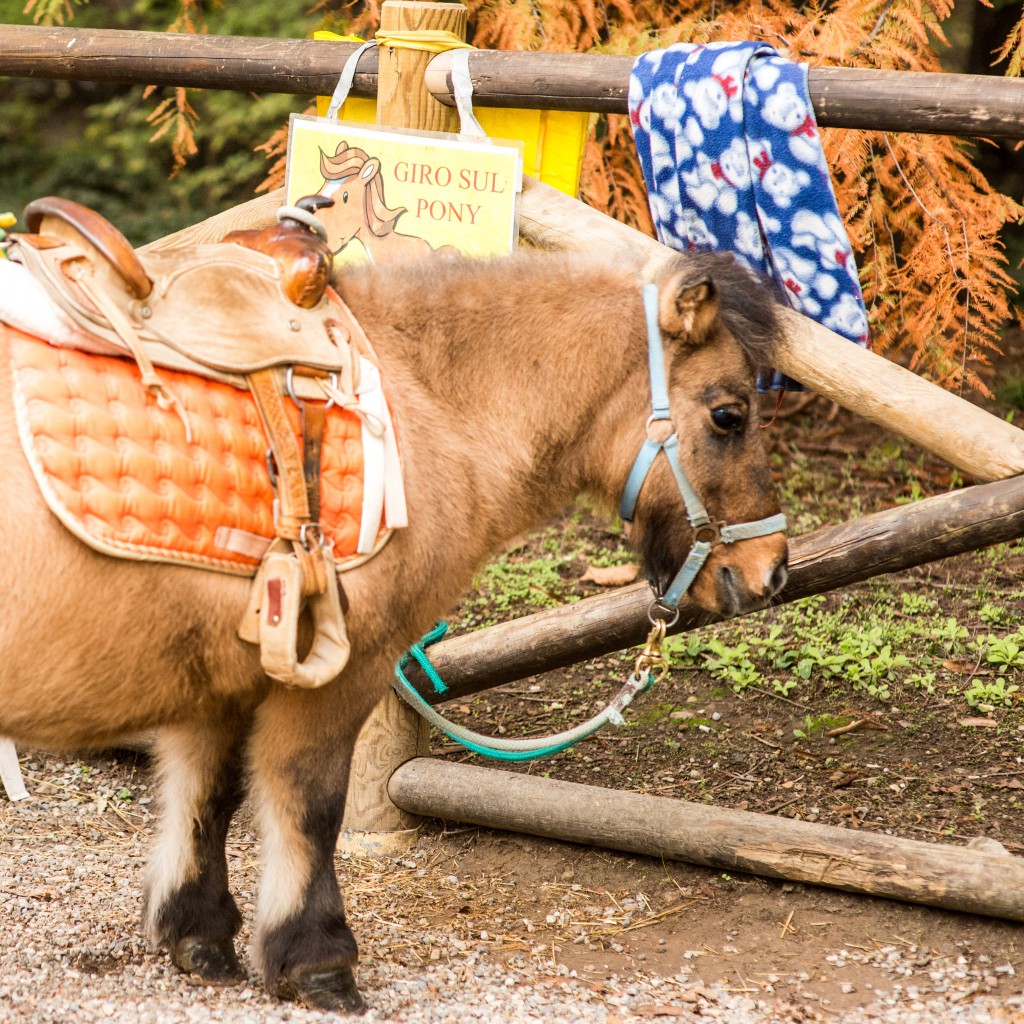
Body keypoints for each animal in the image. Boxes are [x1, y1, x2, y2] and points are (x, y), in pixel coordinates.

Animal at [0, 245, 788, 1012]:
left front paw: (197, 933)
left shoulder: (218, 683)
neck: (421, 399)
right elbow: (309, 802)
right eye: (729, 414)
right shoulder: (340, 674)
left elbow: (209, 794)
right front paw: (317, 960)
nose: (773, 569)